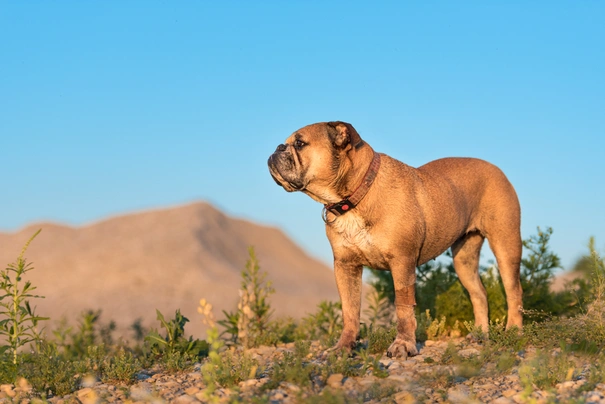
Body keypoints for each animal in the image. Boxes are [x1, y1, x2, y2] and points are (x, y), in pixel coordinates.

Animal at [266, 120, 520, 356]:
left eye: (300, 143)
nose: (278, 147)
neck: (356, 195)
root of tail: (496, 169)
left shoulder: (402, 262)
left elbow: (403, 308)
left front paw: (403, 345)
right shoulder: (345, 266)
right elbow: (349, 310)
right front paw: (344, 347)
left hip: (506, 247)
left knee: (513, 291)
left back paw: (514, 332)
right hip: (464, 260)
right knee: (479, 293)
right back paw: (480, 335)